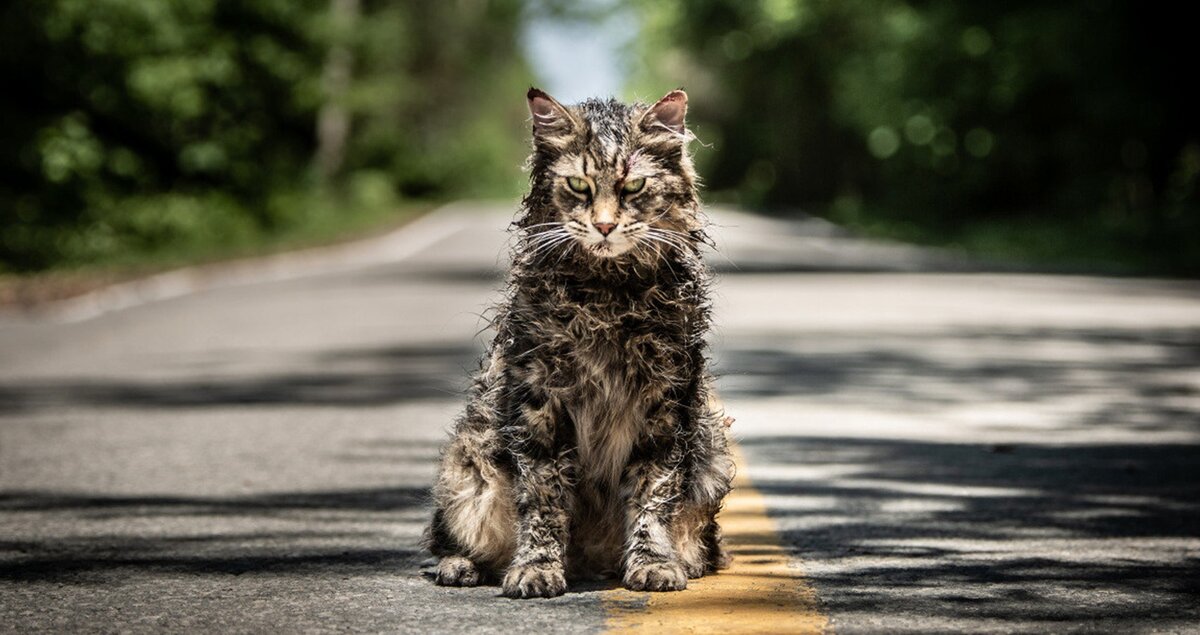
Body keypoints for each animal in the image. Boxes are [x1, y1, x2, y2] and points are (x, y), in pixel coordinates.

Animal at [427, 86, 734, 597]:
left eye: (633, 188)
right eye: (578, 186)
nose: (605, 226)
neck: (607, 297)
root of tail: (589, 562)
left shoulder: (666, 403)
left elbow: (653, 495)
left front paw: (653, 563)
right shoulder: (540, 402)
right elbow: (544, 499)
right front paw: (536, 568)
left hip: (712, 452)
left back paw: (680, 562)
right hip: (468, 462)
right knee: (452, 538)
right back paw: (462, 566)